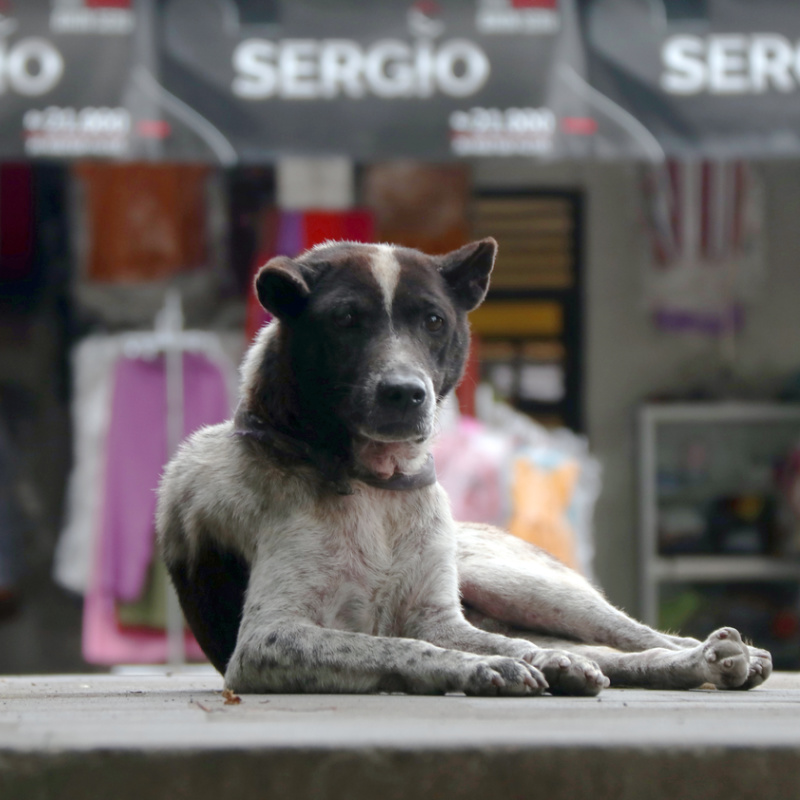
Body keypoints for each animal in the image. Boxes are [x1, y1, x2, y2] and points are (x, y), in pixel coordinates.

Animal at [153, 238, 772, 692]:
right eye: (345, 320)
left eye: (432, 320)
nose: (405, 393)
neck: (376, 486)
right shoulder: (267, 638)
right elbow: (399, 645)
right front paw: (482, 669)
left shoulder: (439, 617)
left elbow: (499, 643)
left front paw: (515, 661)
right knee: (600, 652)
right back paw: (692, 662)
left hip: (516, 582)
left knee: (624, 635)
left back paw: (710, 653)